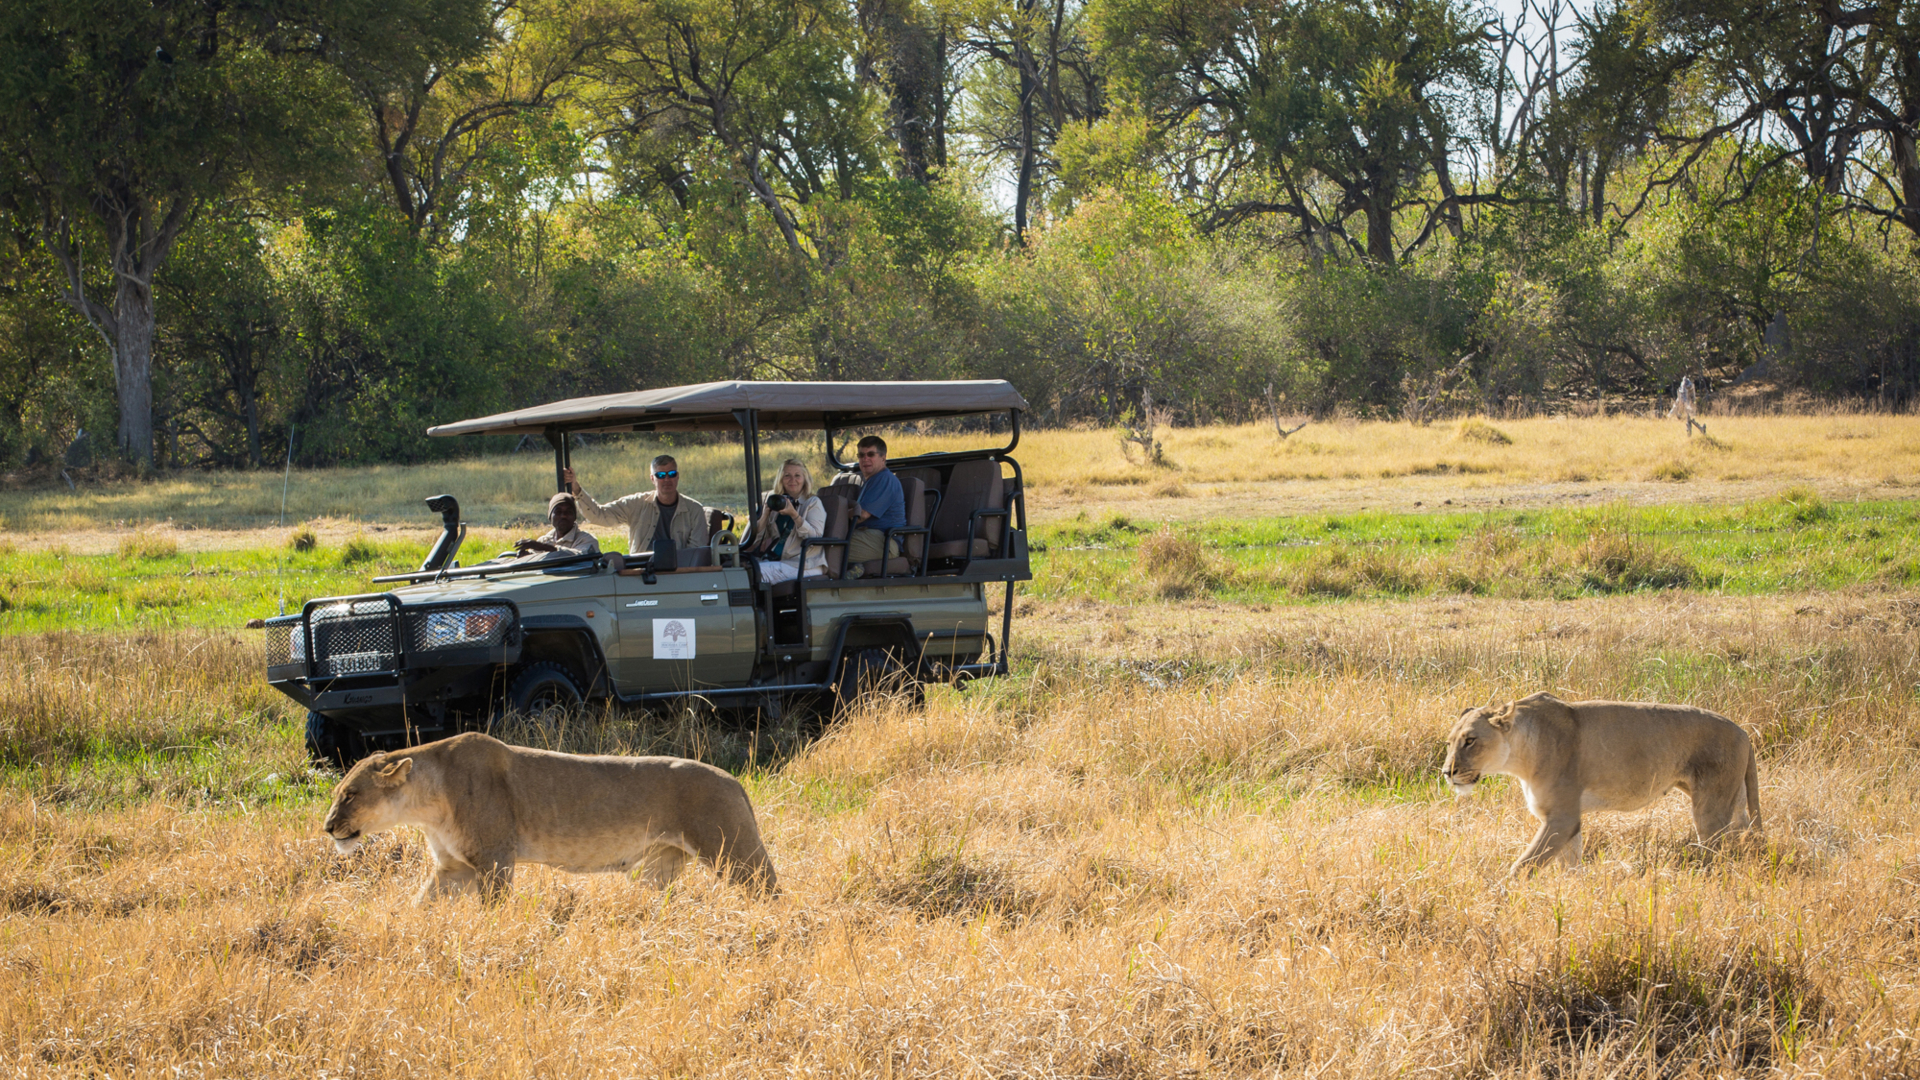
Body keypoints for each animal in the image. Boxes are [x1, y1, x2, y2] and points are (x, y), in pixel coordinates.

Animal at [322, 732, 778, 902]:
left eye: (350, 795)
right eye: (338, 794)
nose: (328, 827)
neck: (428, 804)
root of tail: (735, 780)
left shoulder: (495, 860)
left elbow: (493, 911)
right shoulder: (453, 868)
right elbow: (421, 905)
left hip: (734, 852)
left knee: (772, 894)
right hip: (658, 867)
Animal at [1443, 691, 1762, 877]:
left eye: (1470, 740)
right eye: (1450, 742)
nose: (1447, 772)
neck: (1521, 751)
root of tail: (1743, 731)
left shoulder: (1562, 817)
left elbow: (1523, 865)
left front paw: (1501, 898)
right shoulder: (1568, 820)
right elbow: (1571, 866)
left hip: (1710, 808)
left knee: (1715, 851)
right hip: (1734, 800)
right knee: (1743, 832)